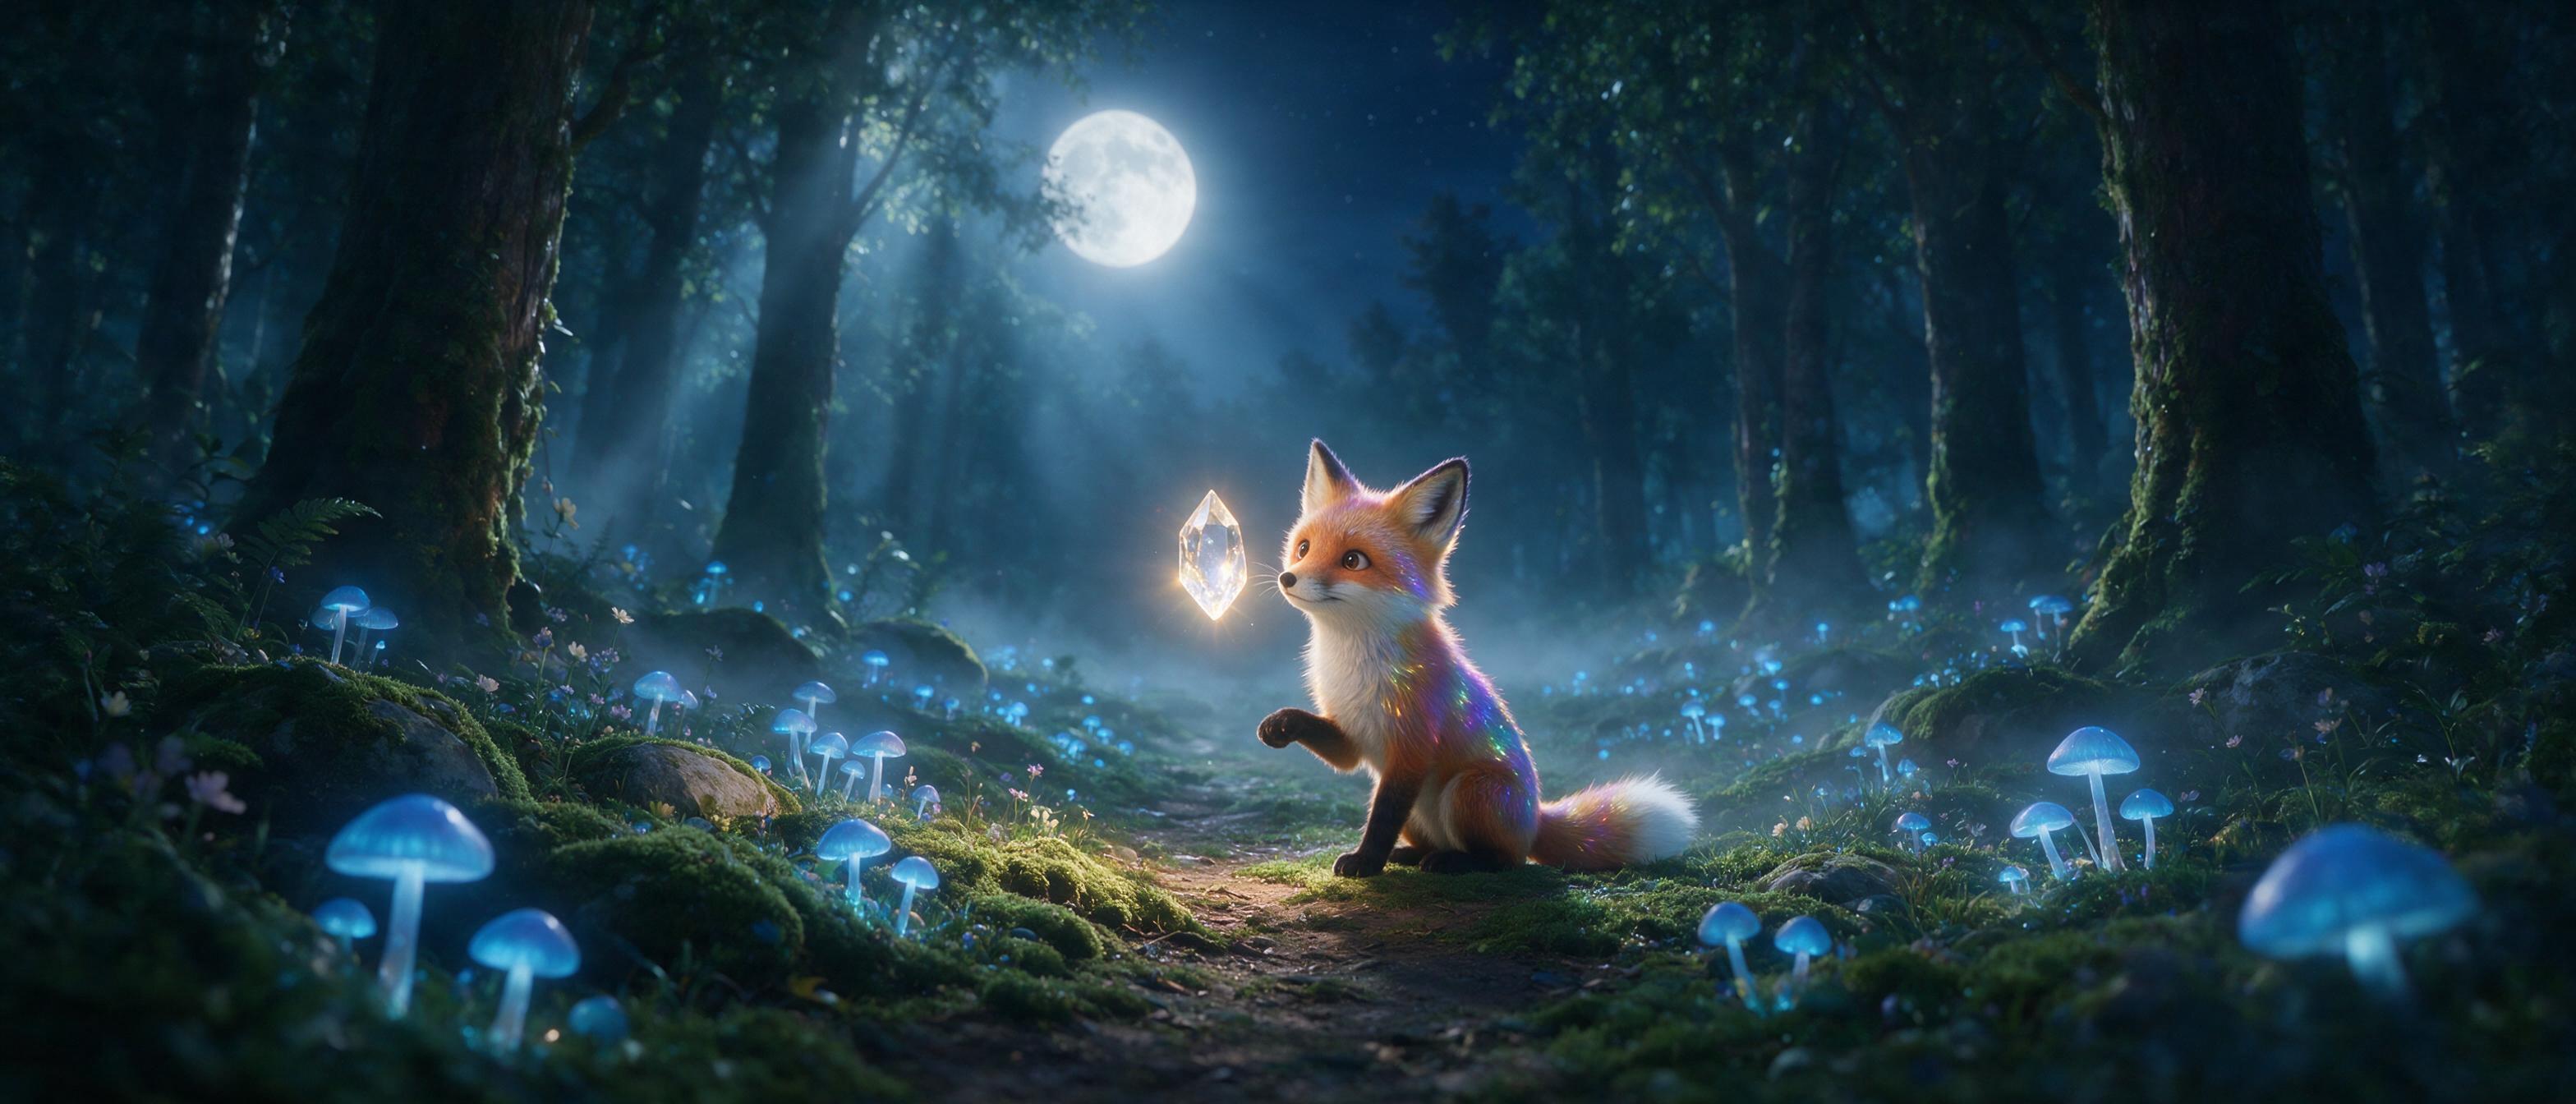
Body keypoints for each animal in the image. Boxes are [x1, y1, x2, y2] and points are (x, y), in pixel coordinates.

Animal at [1258, 440, 1699, 877]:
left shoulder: (1412, 749)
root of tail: (1536, 818)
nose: (1287, 578)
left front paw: (1366, 861)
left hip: (1468, 789)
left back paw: (1455, 861)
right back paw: (1414, 855)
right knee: (1439, 842)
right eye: (1303, 548)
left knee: (1505, 860)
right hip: (1421, 811)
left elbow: (1383, 817)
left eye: (1353, 560)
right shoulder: (1352, 735)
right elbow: (1331, 745)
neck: (1351, 661)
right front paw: (1281, 724)